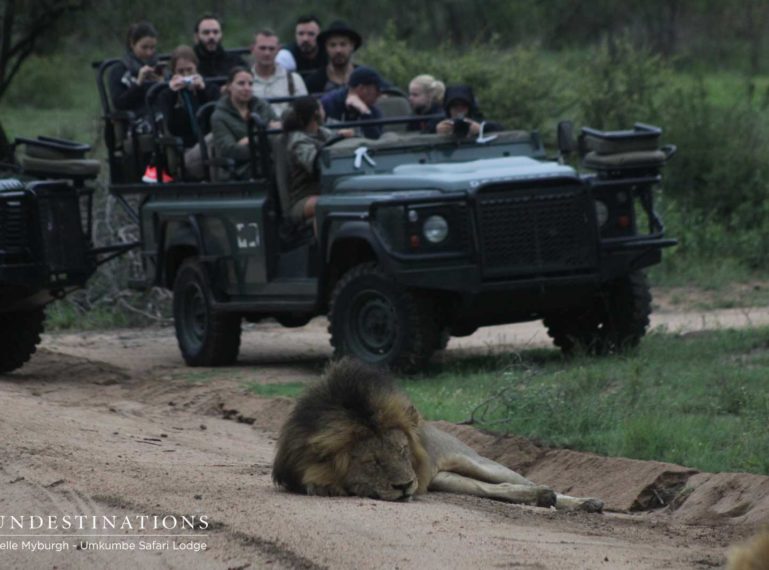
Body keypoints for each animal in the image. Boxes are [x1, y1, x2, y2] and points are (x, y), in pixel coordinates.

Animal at [272, 358, 604, 508]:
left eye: (403, 451)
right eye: (373, 462)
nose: (406, 485)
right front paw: (323, 486)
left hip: (479, 462)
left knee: (522, 480)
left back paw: (585, 502)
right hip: (446, 479)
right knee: (495, 490)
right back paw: (543, 498)